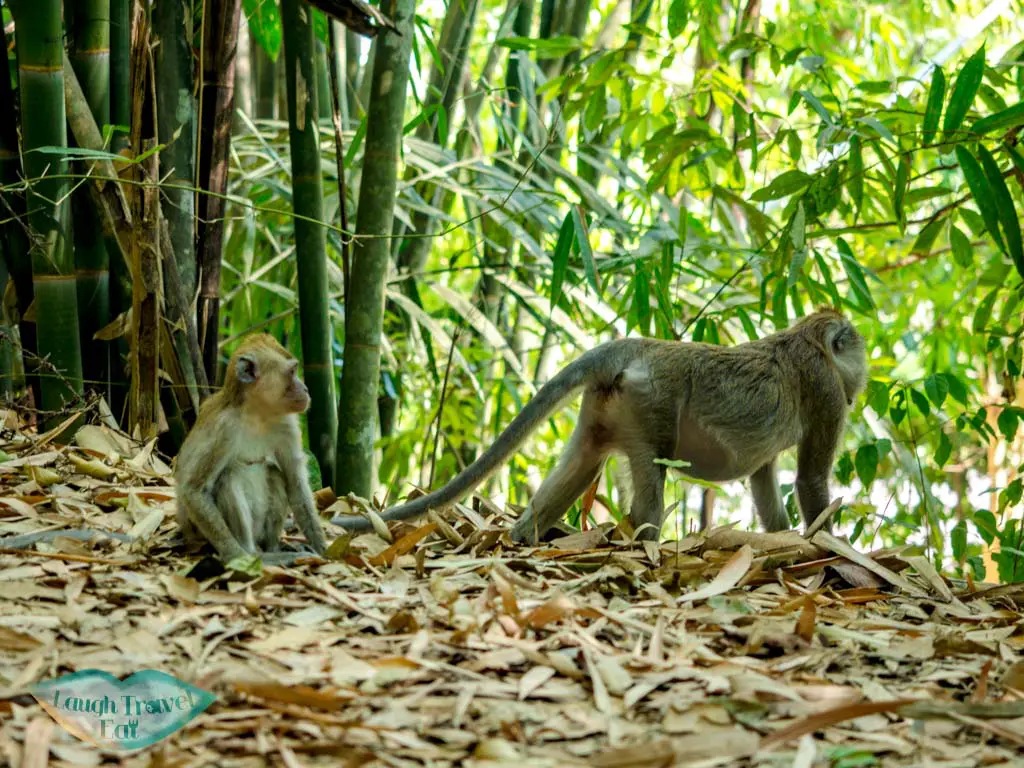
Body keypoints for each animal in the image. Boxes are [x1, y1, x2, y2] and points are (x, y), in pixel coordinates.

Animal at [175, 335, 327, 565]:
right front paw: (234, 555)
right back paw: (255, 555)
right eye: (292, 372)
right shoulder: (224, 429)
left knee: (274, 474)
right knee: (229, 477)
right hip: (198, 533)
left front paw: (324, 550)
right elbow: (194, 490)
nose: (306, 389)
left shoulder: (287, 426)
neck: (257, 414)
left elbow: (295, 482)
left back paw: (273, 549)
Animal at [331, 309, 868, 544]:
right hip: (652, 403)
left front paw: (779, 539)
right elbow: (810, 480)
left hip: (607, 408)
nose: (861, 381)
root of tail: (639, 347)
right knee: (650, 483)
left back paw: (523, 537)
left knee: (582, 466)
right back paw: (646, 548)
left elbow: (762, 475)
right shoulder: (825, 390)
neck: (807, 338)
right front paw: (826, 547)